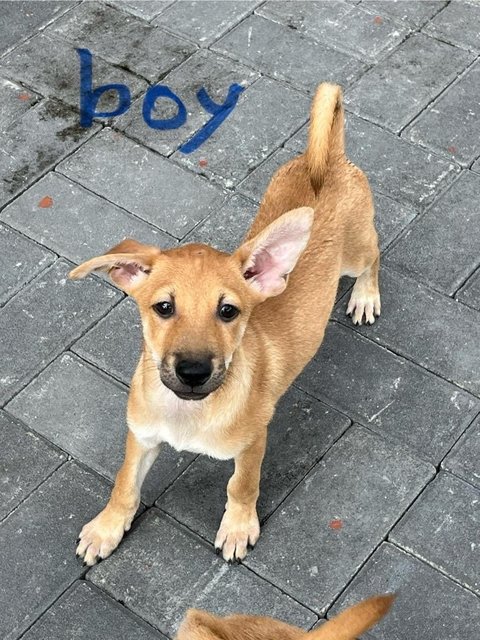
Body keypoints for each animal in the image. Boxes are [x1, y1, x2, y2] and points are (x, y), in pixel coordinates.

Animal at [71, 81, 380, 564]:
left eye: (228, 311)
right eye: (163, 308)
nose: (193, 372)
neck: (188, 412)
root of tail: (326, 159)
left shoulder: (253, 442)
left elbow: (241, 485)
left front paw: (237, 527)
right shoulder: (140, 435)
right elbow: (123, 485)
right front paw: (106, 529)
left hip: (354, 253)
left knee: (375, 254)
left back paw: (366, 296)